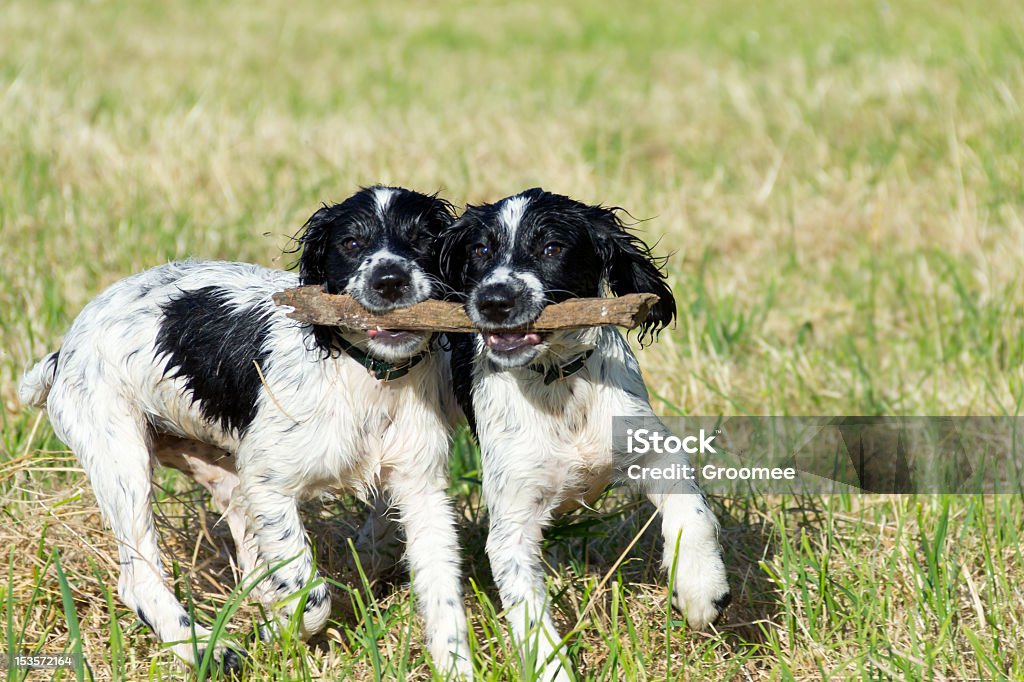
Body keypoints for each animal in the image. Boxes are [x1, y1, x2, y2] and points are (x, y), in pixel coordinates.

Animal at [17, 184, 471, 675]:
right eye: (351, 243)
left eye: (424, 239)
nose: (390, 280)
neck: (367, 378)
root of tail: (62, 352)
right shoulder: (269, 482)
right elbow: (310, 593)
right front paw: (280, 631)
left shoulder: (420, 486)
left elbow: (442, 590)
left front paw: (457, 666)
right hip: (121, 456)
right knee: (138, 578)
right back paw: (205, 648)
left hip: (221, 472)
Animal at [438, 187, 729, 679]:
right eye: (479, 250)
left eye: (552, 248)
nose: (495, 300)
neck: (560, 384)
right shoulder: (512, 522)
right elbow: (530, 616)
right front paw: (552, 668)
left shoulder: (653, 448)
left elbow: (694, 514)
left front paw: (700, 589)